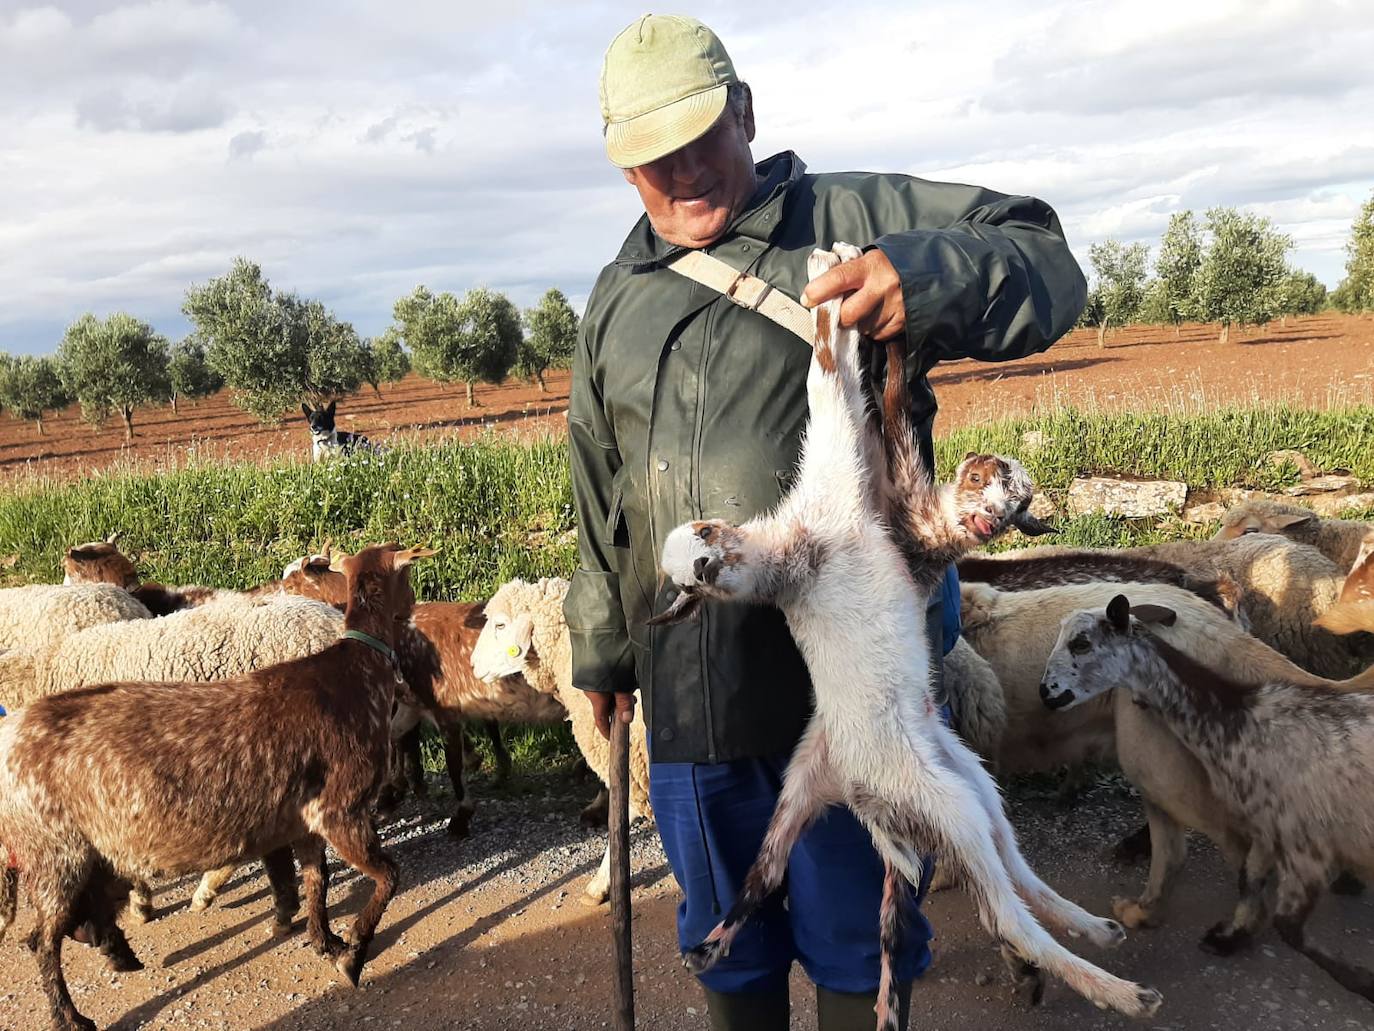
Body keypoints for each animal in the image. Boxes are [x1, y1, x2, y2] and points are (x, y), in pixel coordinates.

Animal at [1038, 593, 1374, 1006]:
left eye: (1081, 643)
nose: (1046, 693)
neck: (1237, 720)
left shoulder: (1305, 846)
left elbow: (1288, 928)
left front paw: (1363, 982)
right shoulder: (1264, 826)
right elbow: (1249, 879)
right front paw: (1228, 936)